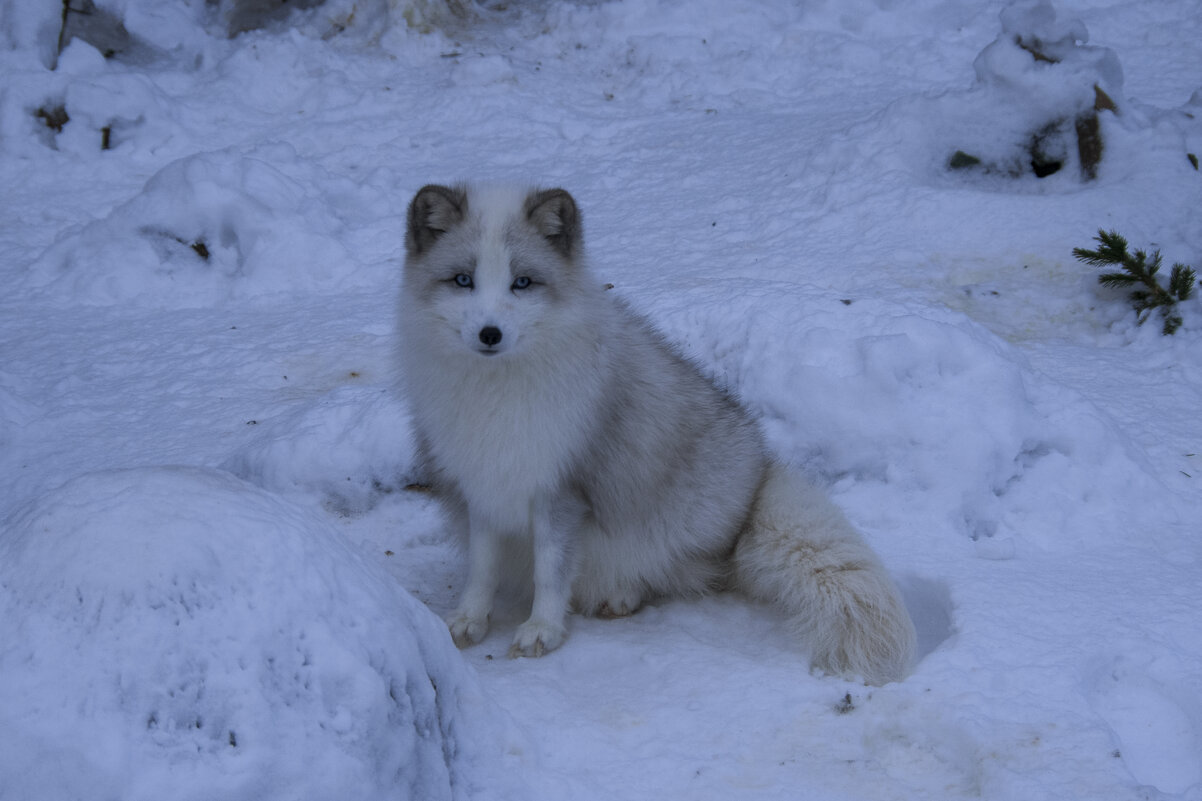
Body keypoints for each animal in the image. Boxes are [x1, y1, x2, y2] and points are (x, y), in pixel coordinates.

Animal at [399, 184, 913, 683]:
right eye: (463, 280)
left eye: (521, 282)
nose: (490, 333)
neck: (497, 392)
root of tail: (758, 482)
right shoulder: (482, 485)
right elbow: (481, 569)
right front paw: (470, 619)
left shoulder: (561, 490)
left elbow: (551, 572)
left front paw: (542, 629)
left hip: (682, 511)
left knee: (683, 574)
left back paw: (623, 593)